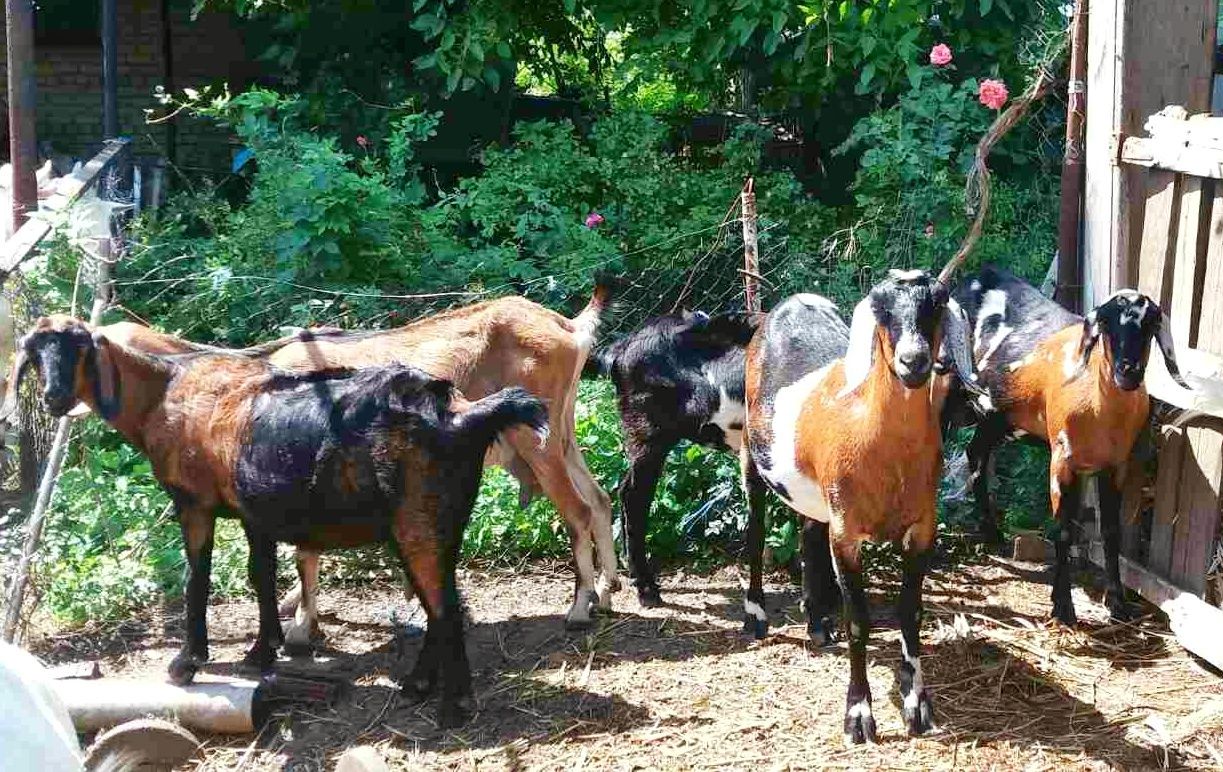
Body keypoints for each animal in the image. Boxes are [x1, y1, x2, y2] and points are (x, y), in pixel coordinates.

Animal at [738, 275, 978, 743]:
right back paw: (755, 615)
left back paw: (816, 622)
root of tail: (791, 303)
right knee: (756, 532)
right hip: (750, 457)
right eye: (882, 309)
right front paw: (859, 715)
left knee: (807, 531)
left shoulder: (922, 528)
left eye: (936, 305)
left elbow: (910, 614)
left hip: (816, 495)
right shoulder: (846, 534)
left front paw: (917, 706)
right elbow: (858, 621)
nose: (914, 361)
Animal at [939, 269, 1188, 626]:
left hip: (998, 417)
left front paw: (1118, 604)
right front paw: (1063, 607)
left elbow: (1110, 532)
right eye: (1106, 323)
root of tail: (973, 277)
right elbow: (1062, 531)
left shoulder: (1115, 467)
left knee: (976, 455)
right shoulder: (1062, 462)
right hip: (945, 391)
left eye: (1152, 324)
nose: (1128, 371)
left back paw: (993, 535)